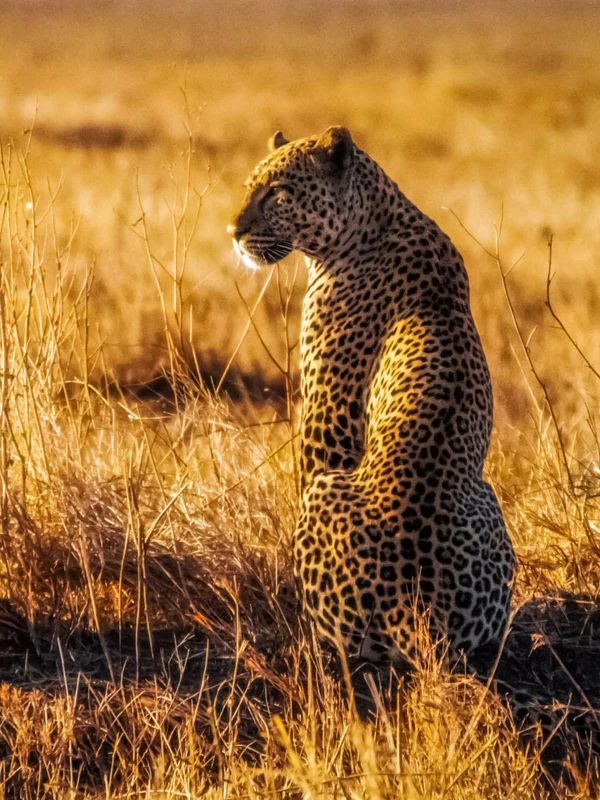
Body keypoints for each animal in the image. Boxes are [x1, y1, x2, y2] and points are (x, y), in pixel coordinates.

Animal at [228, 126, 516, 667]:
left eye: (277, 193)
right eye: (249, 187)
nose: (232, 231)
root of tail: (417, 615)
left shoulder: (329, 416)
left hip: (329, 491)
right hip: (488, 502)